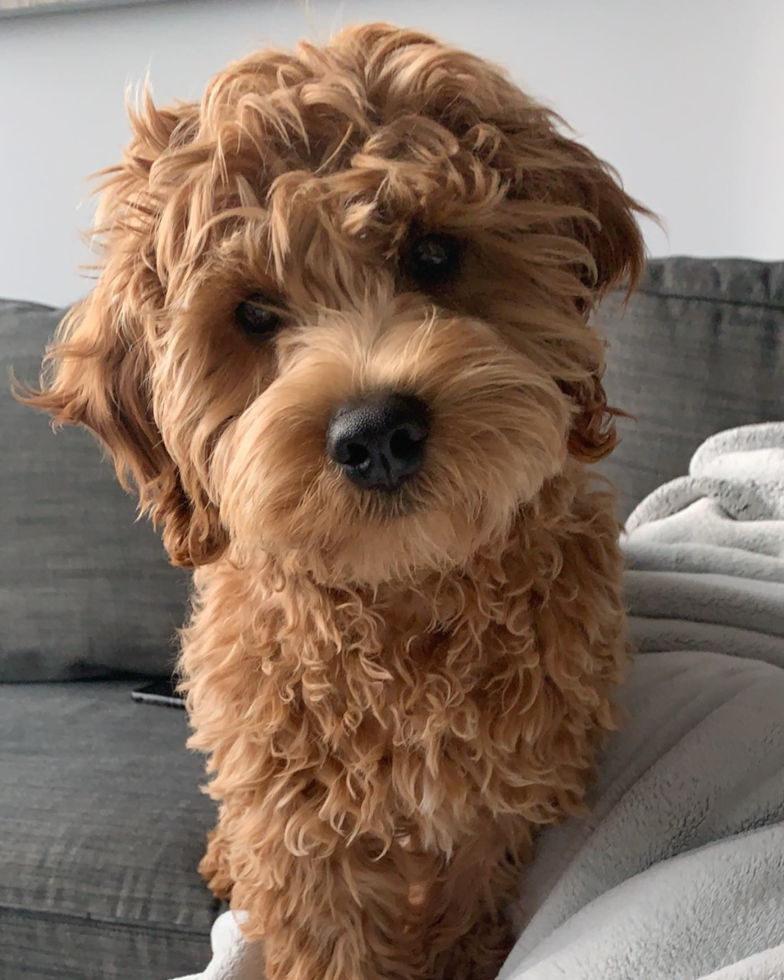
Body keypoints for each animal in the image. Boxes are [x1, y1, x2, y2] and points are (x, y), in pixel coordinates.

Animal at [21, 23, 648, 980]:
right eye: (251, 313)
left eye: (434, 254)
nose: (377, 431)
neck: (404, 596)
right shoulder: (301, 831)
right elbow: (325, 935)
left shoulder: (492, 805)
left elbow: (465, 903)